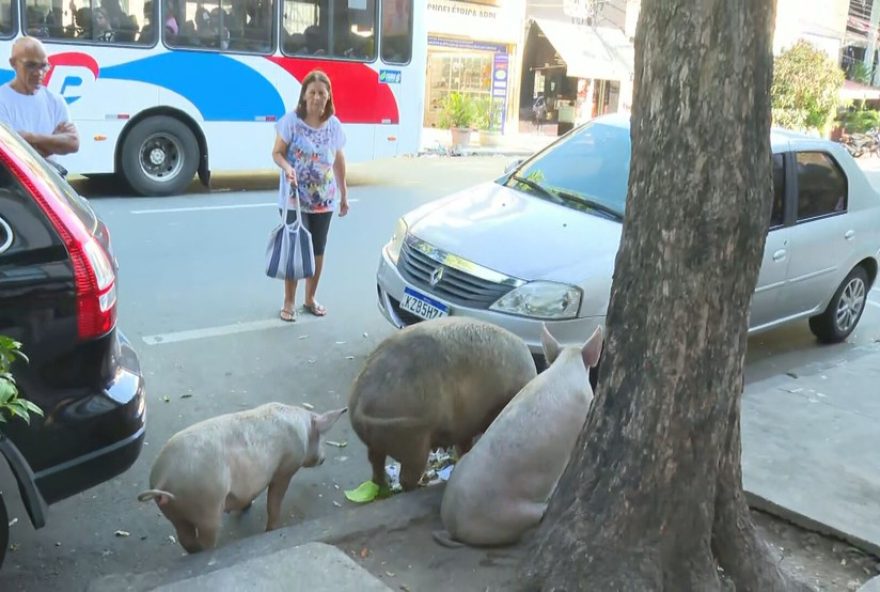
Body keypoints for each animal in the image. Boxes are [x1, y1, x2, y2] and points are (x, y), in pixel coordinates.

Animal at [137, 404, 344, 552]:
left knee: (184, 538)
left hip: (173, 512)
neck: (304, 430)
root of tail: (164, 475)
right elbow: (274, 501)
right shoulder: (285, 469)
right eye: (321, 437)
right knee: (205, 539)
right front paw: (271, 530)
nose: (324, 458)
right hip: (207, 505)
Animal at [350, 316, 536, 492]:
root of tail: (361, 400)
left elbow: (463, 446)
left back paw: (385, 486)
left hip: (382, 441)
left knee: (375, 463)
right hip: (413, 439)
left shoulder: (464, 427)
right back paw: (419, 485)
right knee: (407, 477)